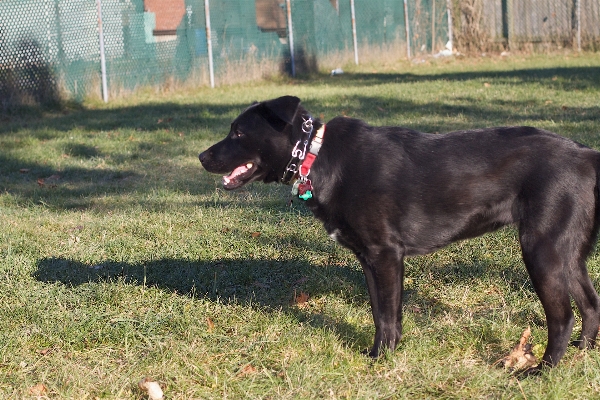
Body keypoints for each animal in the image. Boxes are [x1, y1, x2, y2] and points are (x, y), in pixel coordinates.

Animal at [200, 95, 600, 370]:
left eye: (238, 132)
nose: (202, 157)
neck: (315, 154)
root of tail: (586, 154)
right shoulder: (370, 259)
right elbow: (382, 314)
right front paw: (380, 354)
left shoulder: (386, 255)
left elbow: (389, 314)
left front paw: (381, 360)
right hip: (569, 254)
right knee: (591, 303)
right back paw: (582, 352)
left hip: (541, 250)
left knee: (562, 317)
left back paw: (542, 370)